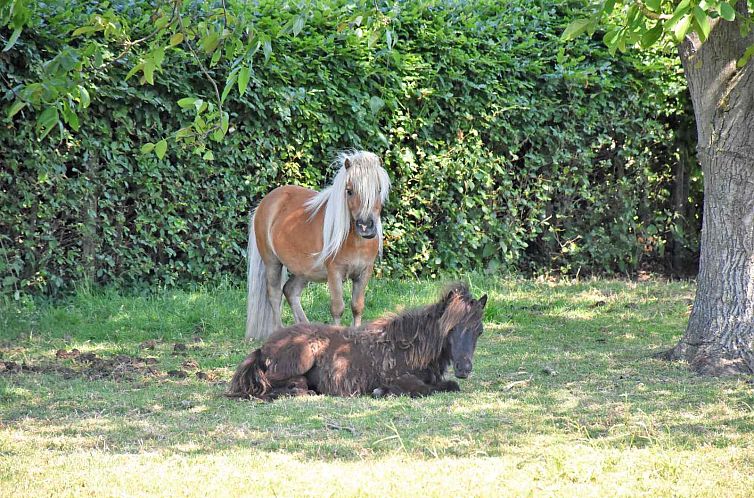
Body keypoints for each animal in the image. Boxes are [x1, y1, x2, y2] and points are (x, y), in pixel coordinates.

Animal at [229, 280, 484, 400]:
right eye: (450, 329)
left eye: (479, 331)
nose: (464, 368)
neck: (411, 347)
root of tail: (263, 348)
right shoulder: (401, 378)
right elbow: (424, 389)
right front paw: (382, 391)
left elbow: (449, 386)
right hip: (301, 359)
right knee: (269, 384)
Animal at [245, 150, 388, 340]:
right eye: (349, 191)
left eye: (378, 190)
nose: (365, 227)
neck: (355, 241)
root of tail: (264, 203)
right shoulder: (334, 272)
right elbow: (337, 308)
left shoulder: (364, 272)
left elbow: (357, 307)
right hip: (272, 263)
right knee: (275, 295)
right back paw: (279, 331)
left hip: (303, 270)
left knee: (290, 291)